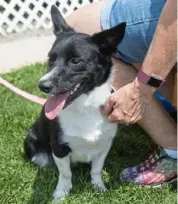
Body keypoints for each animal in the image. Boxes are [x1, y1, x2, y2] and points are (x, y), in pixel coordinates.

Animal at [24, 5, 125, 200]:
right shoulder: (59, 147)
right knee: (41, 159)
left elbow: (96, 169)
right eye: (50, 60)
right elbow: (65, 173)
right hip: (32, 139)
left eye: (76, 61)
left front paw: (98, 187)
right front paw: (61, 193)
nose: (43, 85)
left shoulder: (104, 145)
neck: (84, 107)